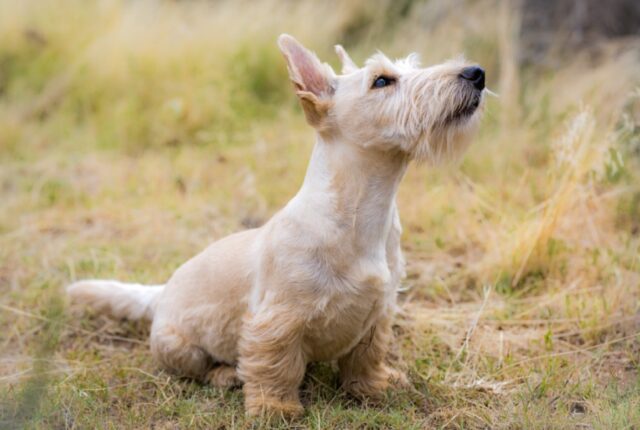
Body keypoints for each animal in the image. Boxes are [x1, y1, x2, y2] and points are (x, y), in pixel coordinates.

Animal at [66, 34, 484, 420]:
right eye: (382, 81)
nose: (476, 73)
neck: (363, 213)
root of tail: (160, 292)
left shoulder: (378, 314)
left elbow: (365, 358)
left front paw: (374, 387)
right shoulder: (278, 321)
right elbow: (276, 367)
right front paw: (276, 409)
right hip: (178, 346)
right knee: (198, 369)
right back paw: (226, 375)